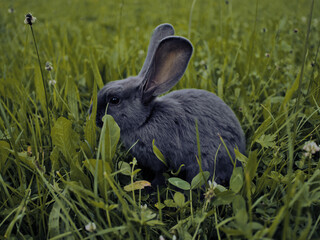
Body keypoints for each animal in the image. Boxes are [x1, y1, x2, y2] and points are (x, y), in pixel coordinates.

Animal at [90, 23, 245, 188]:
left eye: (114, 100)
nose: (92, 115)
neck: (146, 119)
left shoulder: (160, 159)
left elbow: (159, 174)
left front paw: (151, 187)